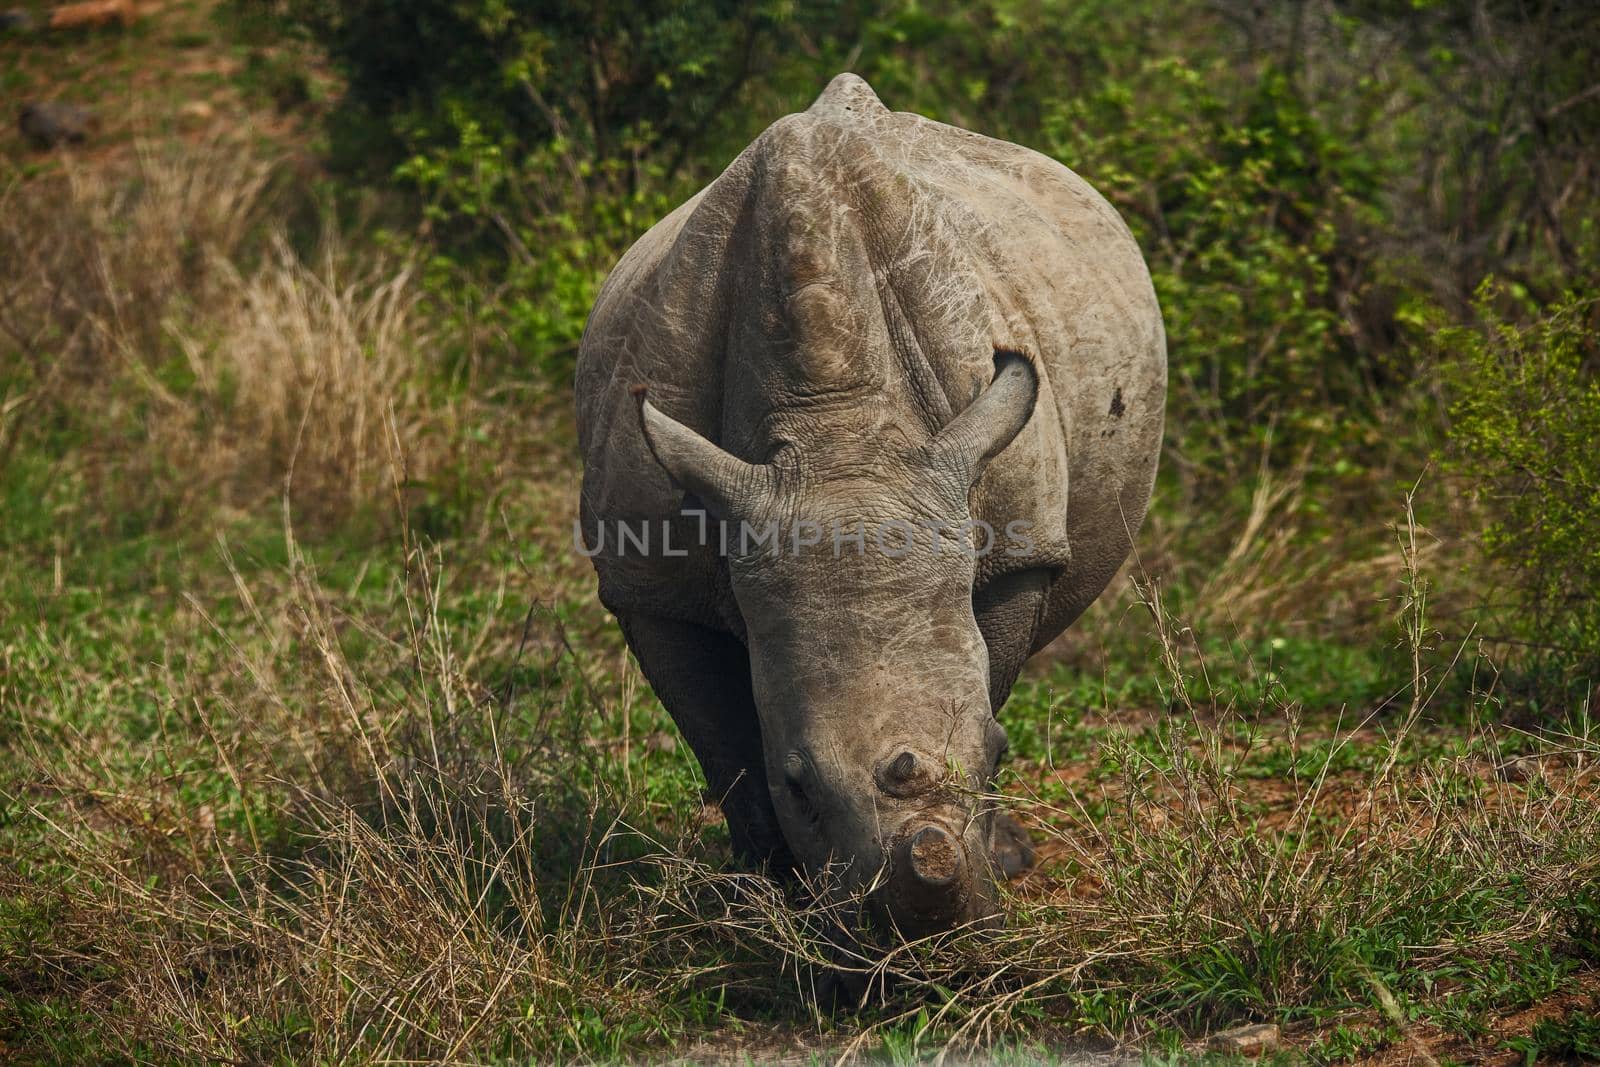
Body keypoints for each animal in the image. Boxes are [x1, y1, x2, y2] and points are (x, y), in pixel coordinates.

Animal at [576, 73, 1164, 934]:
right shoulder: (648, 581)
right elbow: (725, 747)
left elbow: (993, 672)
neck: (838, 438)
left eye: (1001, 751)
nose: (926, 931)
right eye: (800, 785)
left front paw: (991, 861)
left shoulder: (1012, 542)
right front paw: (763, 898)